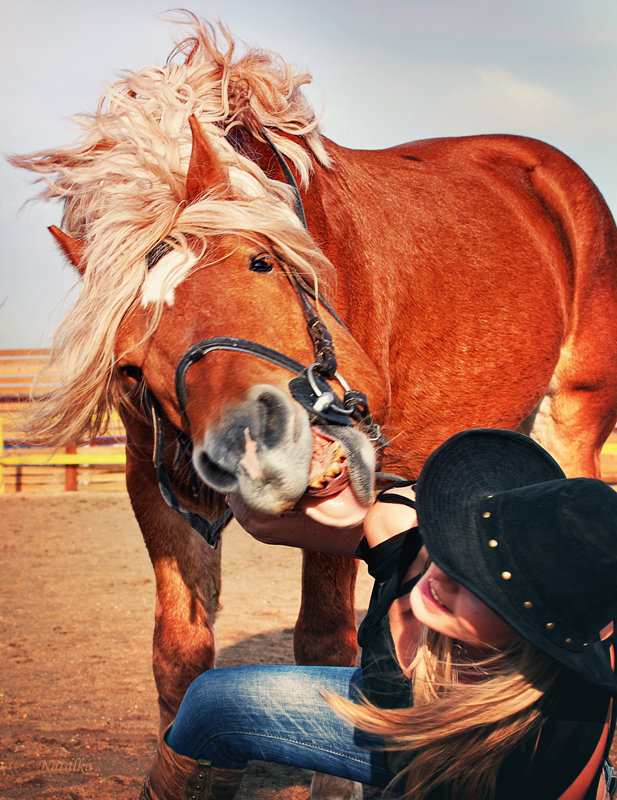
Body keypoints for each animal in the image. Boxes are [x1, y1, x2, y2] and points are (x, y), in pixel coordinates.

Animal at [9, 14, 616, 800]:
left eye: (260, 262)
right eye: (131, 367)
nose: (269, 460)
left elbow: (323, 640)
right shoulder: (157, 482)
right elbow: (180, 652)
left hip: (572, 419)